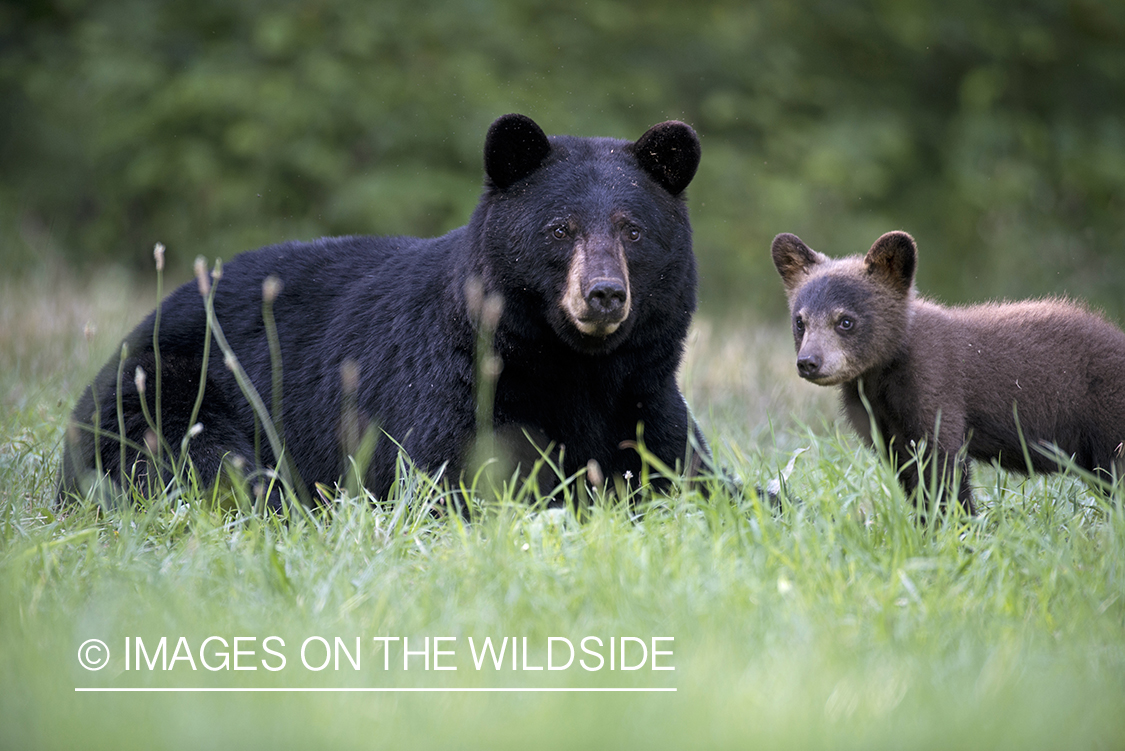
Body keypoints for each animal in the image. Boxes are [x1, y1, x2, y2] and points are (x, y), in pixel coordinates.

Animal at [57, 114, 706, 508]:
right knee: (192, 457)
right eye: (559, 228)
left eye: (633, 230)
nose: (603, 293)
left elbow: (686, 473)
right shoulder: (450, 386)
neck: (576, 368)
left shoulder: (644, 394)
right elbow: (443, 476)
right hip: (168, 382)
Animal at [769, 230, 1125, 510]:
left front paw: (956, 528)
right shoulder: (883, 422)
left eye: (845, 321)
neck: (881, 379)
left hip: (1108, 417)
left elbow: (943, 464)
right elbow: (909, 473)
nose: (809, 362)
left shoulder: (936, 385)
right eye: (800, 321)